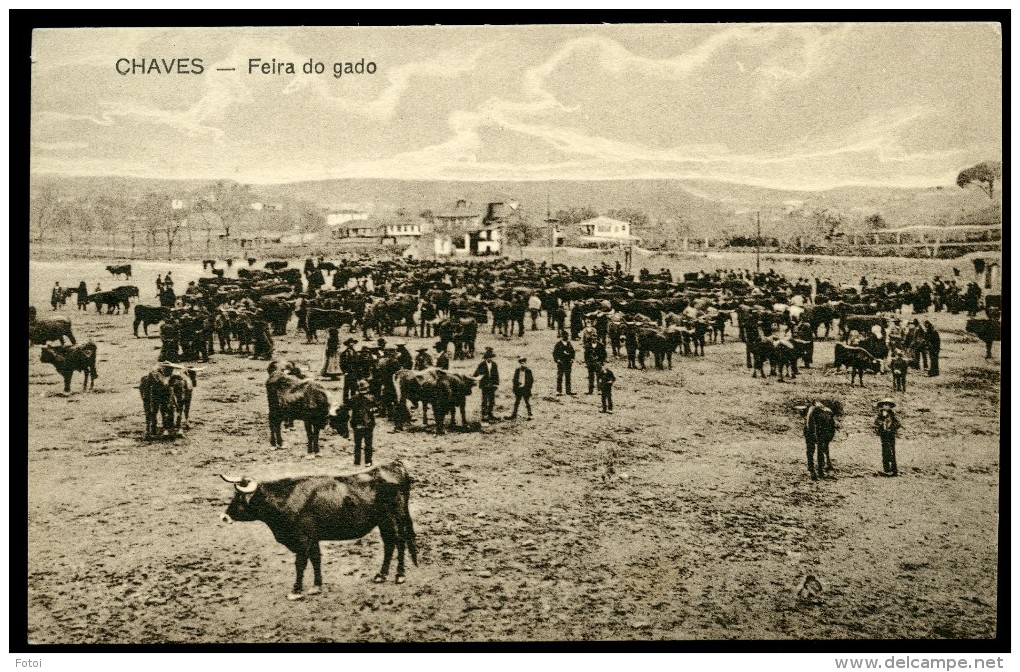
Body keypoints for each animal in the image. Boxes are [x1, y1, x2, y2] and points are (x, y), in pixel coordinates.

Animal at [218, 462, 418, 599]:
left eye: (240, 498)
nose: (224, 517)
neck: (287, 498)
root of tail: (394, 465)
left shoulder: (302, 539)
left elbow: (300, 563)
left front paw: (296, 590)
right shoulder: (312, 538)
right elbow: (316, 559)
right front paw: (317, 586)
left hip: (394, 517)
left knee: (399, 540)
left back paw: (399, 575)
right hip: (383, 521)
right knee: (389, 543)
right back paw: (381, 575)